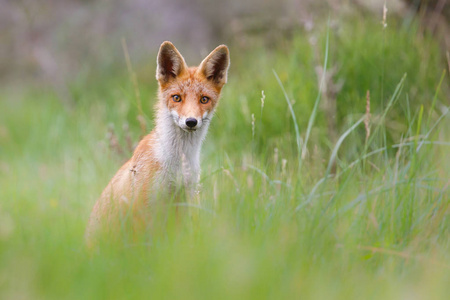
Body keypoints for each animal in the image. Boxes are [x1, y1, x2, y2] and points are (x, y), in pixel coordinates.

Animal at [85, 41, 230, 244]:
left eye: (204, 99)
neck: (178, 161)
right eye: (177, 97)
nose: (191, 121)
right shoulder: (145, 206)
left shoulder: (185, 200)